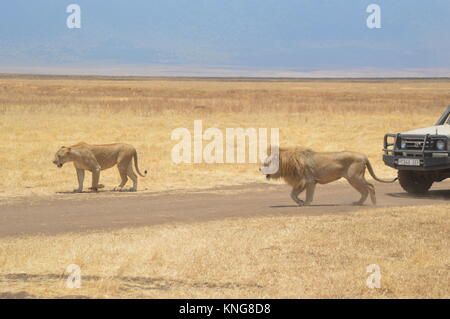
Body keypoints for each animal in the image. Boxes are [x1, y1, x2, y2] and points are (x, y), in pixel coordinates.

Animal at [260, 147, 398, 206]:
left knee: (370, 186)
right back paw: (358, 203)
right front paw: (300, 202)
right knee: (365, 190)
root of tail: (364, 156)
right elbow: (292, 194)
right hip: (352, 179)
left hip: (355, 177)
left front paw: (306, 203)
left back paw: (374, 204)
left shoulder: (309, 180)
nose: (259, 169)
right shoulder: (303, 182)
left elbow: (308, 194)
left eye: (266, 163)